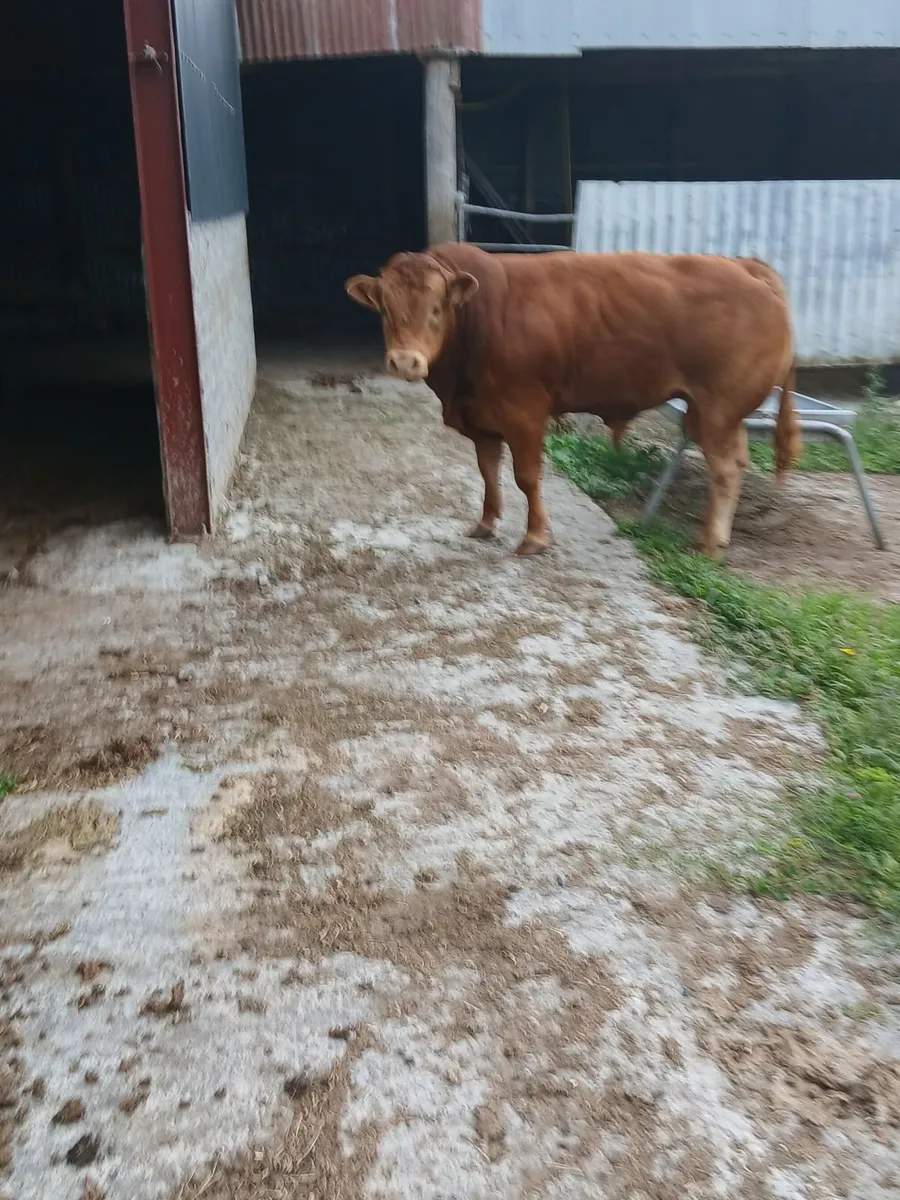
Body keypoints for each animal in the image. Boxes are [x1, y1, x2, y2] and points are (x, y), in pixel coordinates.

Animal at [345, 244, 800, 558]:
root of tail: (742, 265)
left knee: (725, 468)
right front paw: (487, 523)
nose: (406, 361)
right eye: (385, 308)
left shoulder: (524, 412)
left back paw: (709, 542)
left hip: (718, 407)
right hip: (716, 412)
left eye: (437, 308)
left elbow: (527, 477)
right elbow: (488, 471)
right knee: (735, 461)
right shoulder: (481, 417)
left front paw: (535, 537)